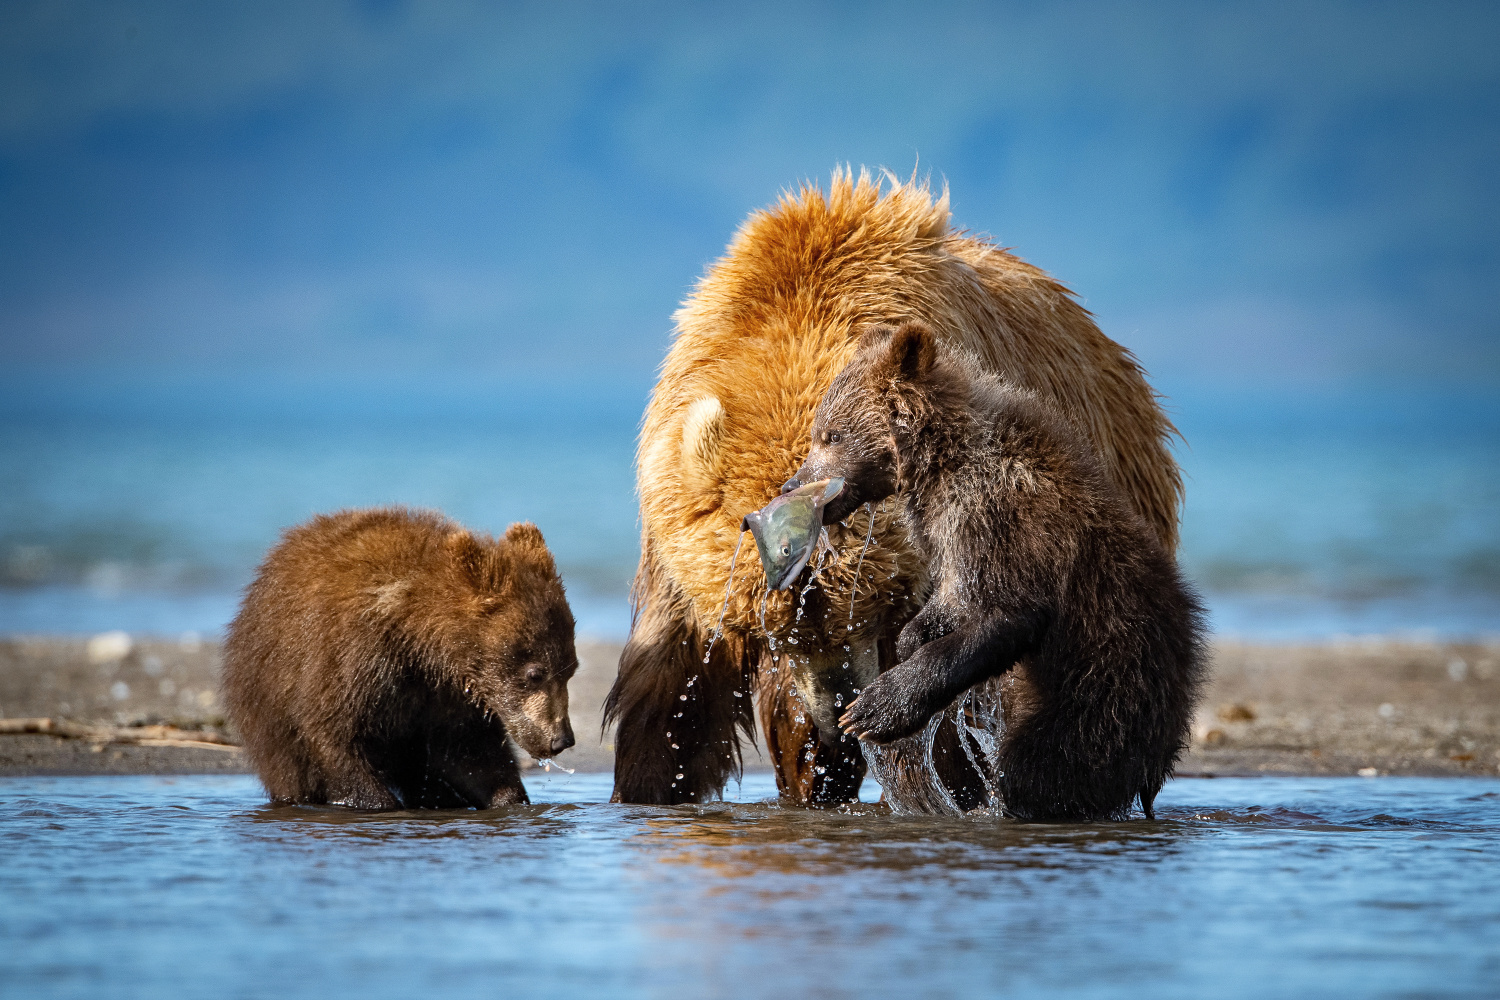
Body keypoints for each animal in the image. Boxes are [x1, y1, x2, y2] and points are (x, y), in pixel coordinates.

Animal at [600, 172, 1182, 809]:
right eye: (776, 620)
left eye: (863, 604)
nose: (834, 713)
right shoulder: (677, 539)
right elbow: (673, 683)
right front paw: (651, 784)